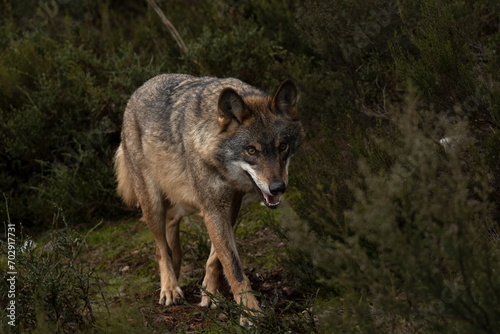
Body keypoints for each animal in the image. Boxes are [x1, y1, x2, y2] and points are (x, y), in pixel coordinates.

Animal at [114, 73, 304, 320]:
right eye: (251, 150)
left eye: (282, 146)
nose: (278, 188)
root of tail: (140, 89)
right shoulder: (212, 208)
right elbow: (233, 266)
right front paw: (250, 313)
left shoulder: (229, 205)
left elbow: (217, 257)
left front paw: (210, 293)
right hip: (152, 203)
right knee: (160, 248)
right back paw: (169, 288)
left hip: (185, 200)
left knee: (172, 225)